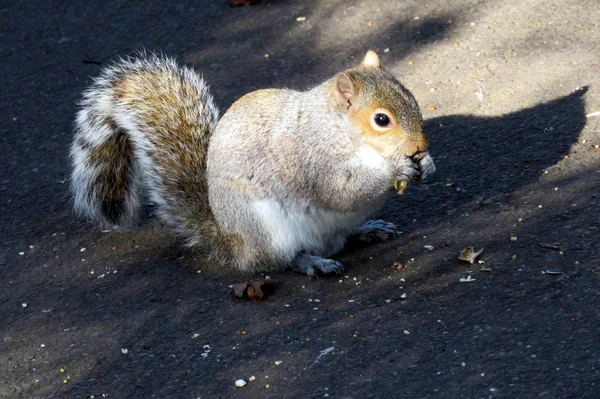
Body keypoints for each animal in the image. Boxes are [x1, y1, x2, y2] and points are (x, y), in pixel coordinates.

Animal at [71, 50, 436, 276]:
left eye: (411, 96)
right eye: (381, 119)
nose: (420, 146)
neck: (341, 129)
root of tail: (230, 242)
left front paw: (427, 163)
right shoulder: (313, 159)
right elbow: (342, 191)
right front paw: (395, 169)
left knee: (339, 239)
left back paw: (367, 229)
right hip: (267, 227)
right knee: (278, 261)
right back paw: (311, 263)